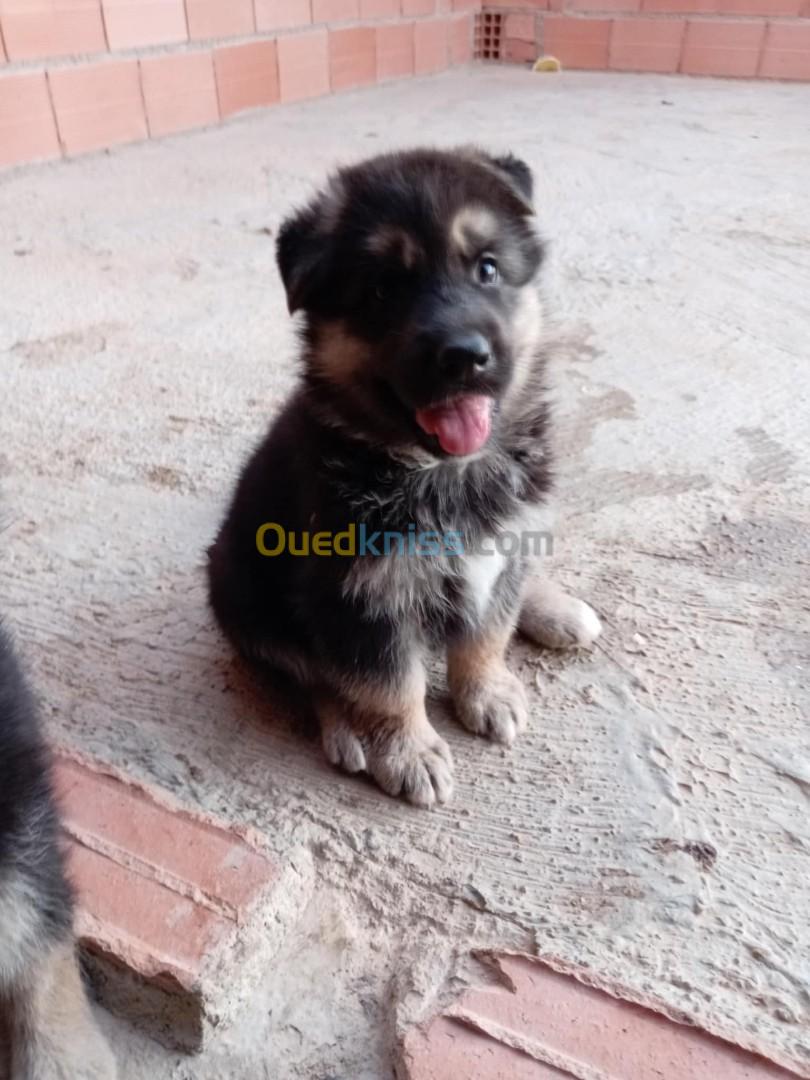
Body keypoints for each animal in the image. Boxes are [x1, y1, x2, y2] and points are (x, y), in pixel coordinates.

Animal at [209, 147, 604, 812]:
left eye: (488, 269)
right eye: (382, 290)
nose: (465, 357)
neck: (441, 471)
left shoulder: (496, 543)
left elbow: (487, 631)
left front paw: (486, 691)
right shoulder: (358, 594)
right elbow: (386, 683)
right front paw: (407, 752)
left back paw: (554, 608)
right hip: (242, 594)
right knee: (307, 673)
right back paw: (346, 731)